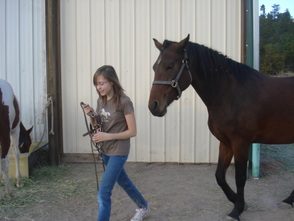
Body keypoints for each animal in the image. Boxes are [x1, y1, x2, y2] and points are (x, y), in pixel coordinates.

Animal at [149, 34, 294, 219]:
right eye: (155, 67)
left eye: (170, 66)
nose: (153, 106)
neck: (230, 94)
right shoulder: (225, 143)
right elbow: (219, 176)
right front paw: (237, 201)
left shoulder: (241, 143)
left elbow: (240, 177)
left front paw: (237, 210)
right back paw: (289, 200)